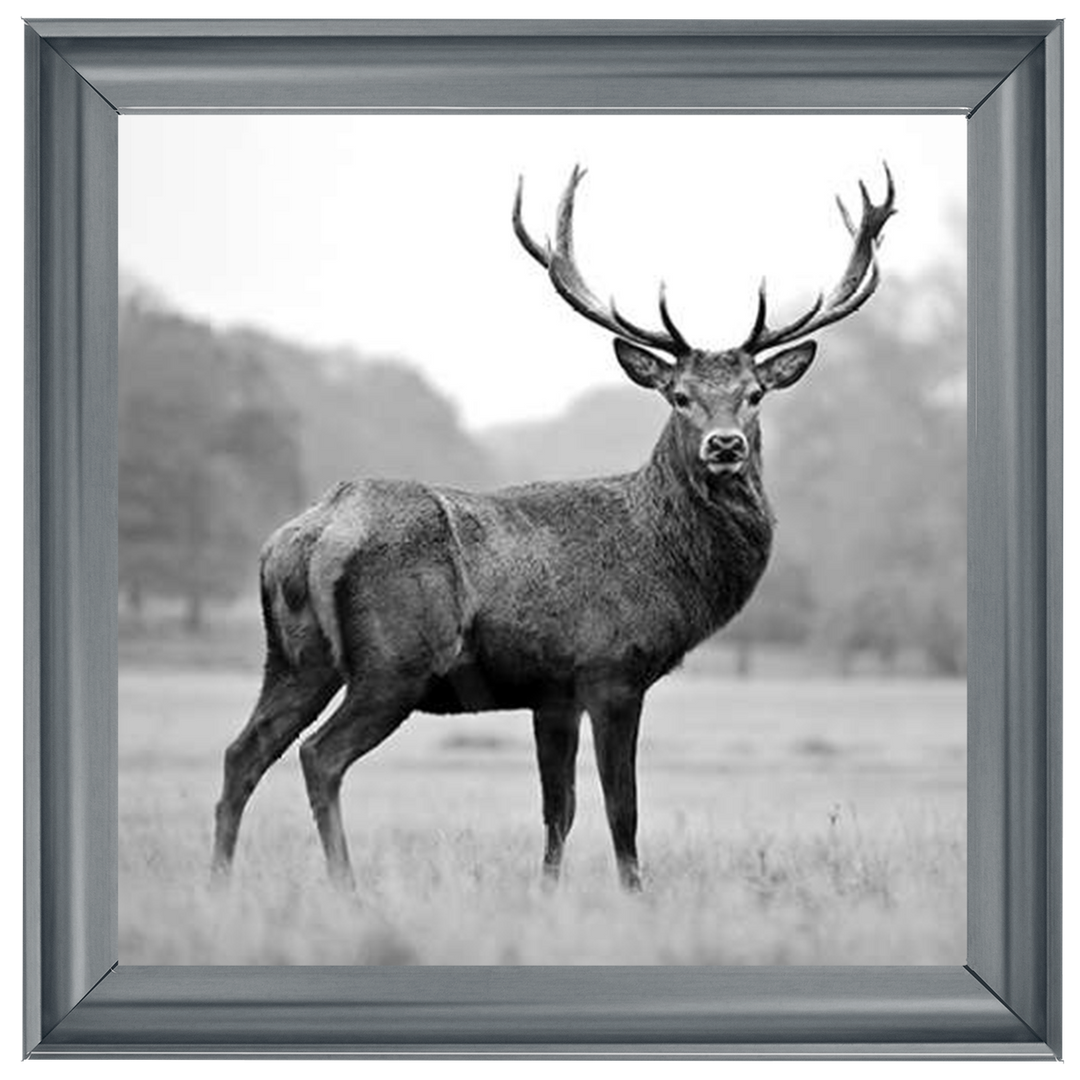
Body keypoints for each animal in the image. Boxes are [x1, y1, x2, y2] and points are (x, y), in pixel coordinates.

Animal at [211, 165, 896, 892]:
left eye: (755, 394)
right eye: (678, 395)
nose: (725, 445)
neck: (666, 563)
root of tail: (311, 534)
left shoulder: (552, 692)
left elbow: (557, 809)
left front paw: (548, 892)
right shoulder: (612, 669)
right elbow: (622, 807)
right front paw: (635, 895)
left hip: (294, 656)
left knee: (242, 752)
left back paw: (219, 880)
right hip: (395, 661)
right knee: (320, 755)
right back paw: (347, 887)